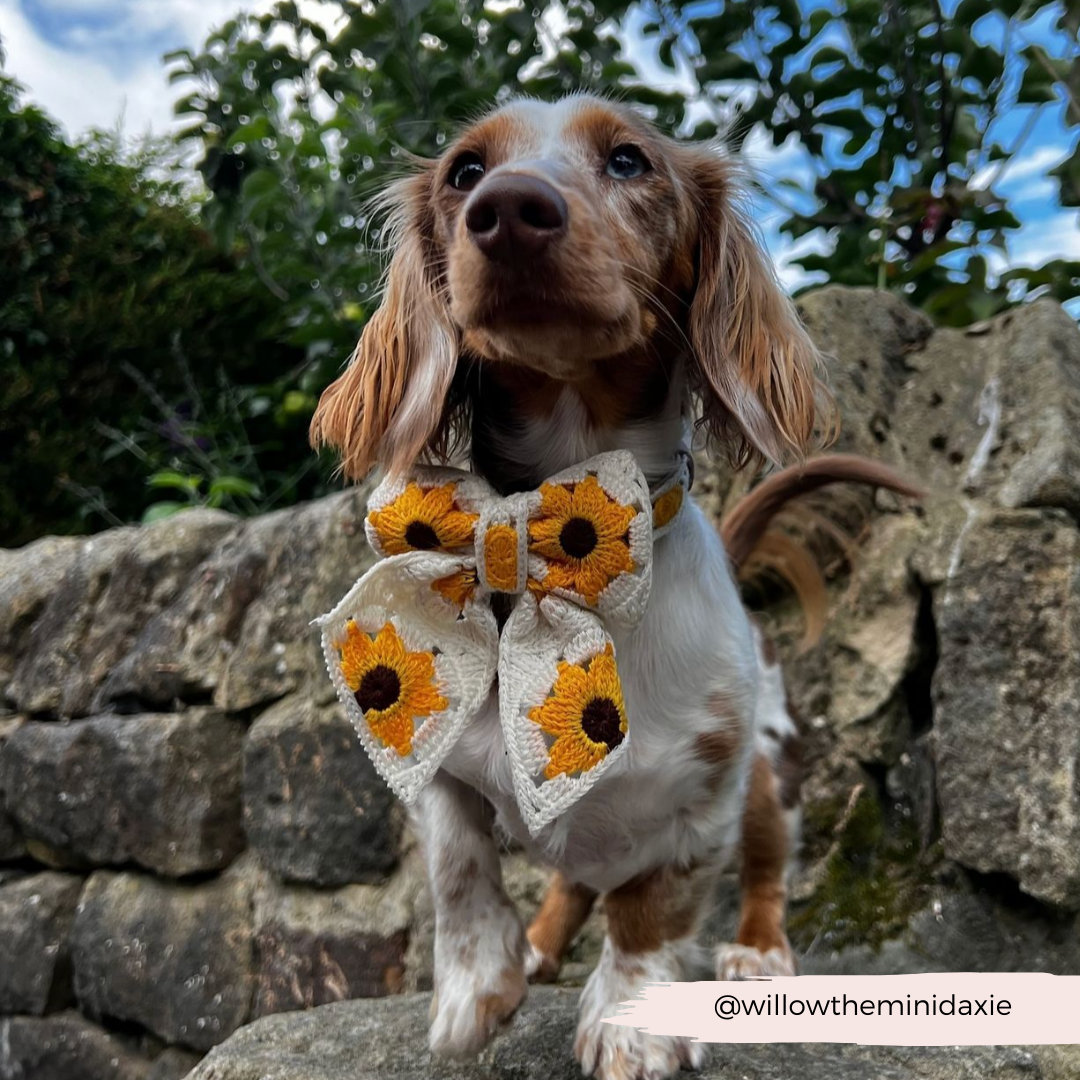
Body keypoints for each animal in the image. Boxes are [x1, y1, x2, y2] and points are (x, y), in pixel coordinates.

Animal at [308, 95, 915, 1080]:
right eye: (465, 172)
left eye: (630, 160)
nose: (508, 210)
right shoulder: (439, 753)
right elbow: (456, 863)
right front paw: (475, 989)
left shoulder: (705, 794)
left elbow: (651, 911)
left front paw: (633, 1022)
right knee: (568, 879)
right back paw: (541, 945)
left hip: (770, 779)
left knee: (765, 873)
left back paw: (757, 951)